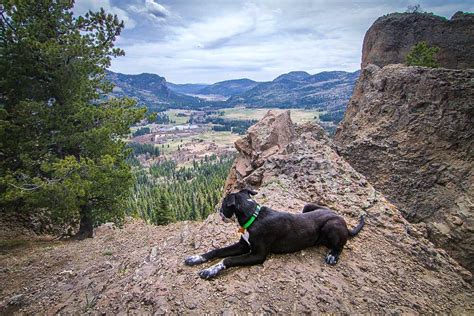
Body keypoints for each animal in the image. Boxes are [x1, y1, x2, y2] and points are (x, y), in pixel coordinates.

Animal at [183, 189, 364, 278]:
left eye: (223, 204)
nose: (219, 212)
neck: (253, 216)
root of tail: (341, 218)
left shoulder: (257, 255)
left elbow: (228, 259)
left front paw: (210, 270)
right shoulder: (243, 245)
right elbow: (217, 251)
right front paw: (197, 258)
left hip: (331, 226)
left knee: (341, 244)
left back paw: (333, 255)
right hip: (308, 206)